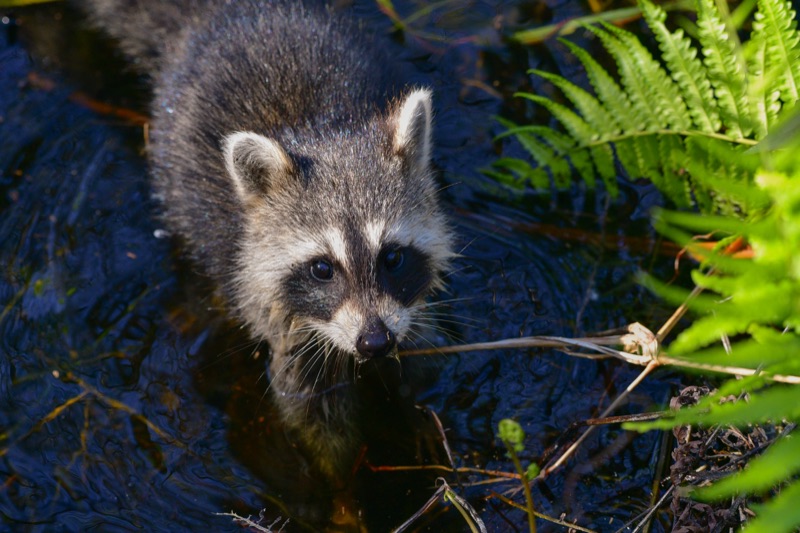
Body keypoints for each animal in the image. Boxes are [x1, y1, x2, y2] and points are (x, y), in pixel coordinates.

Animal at [81, 0, 454, 480]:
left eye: (392, 257)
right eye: (322, 268)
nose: (374, 343)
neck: (327, 130)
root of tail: (228, 11)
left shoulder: (407, 309)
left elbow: (421, 361)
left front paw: (419, 413)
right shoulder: (282, 315)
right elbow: (310, 413)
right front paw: (339, 488)